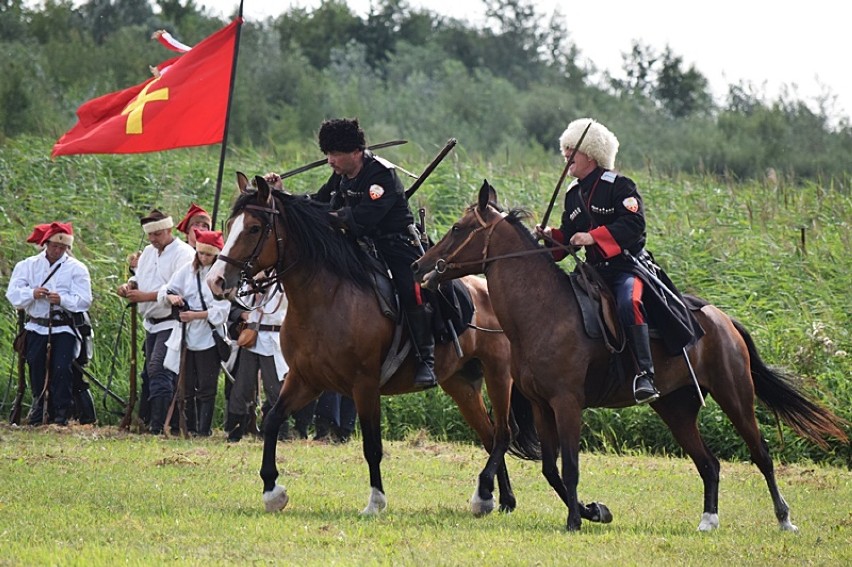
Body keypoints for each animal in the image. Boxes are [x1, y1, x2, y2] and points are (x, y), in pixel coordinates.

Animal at [206, 174, 536, 520]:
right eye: (230, 225)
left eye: (255, 228)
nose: (216, 281)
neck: (326, 297)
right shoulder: (305, 380)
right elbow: (271, 421)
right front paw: (272, 490)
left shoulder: (364, 385)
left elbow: (372, 446)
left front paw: (375, 501)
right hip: (461, 385)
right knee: (489, 435)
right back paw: (499, 499)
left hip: (498, 375)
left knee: (503, 433)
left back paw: (486, 493)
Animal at [412, 181, 844, 532]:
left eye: (457, 228)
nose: (419, 265)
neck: (541, 312)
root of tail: (723, 320)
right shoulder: (541, 405)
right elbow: (551, 469)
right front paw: (593, 511)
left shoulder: (567, 404)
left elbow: (569, 466)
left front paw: (575, 520)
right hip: (675, 408)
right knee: (709, 464)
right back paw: (708, 520)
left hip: (735, 396)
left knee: (762, 455)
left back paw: (784, 518)